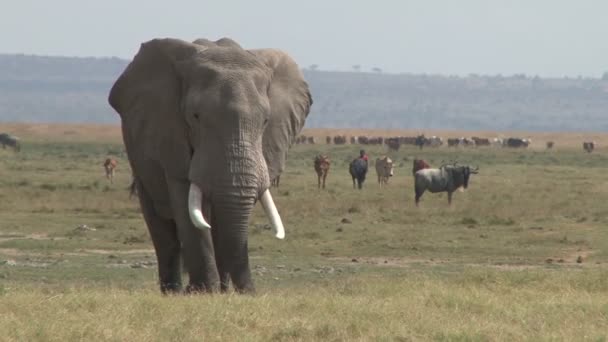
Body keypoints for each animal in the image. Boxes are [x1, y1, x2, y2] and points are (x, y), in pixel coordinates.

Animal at [106, 38, 312, 294]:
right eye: (195, 117)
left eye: (266, 121)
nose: (251, 293)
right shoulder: (171, 138)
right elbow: (187, 208)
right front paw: (202, 292)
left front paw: (223, 293)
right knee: (161, 228)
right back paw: (173, 292)